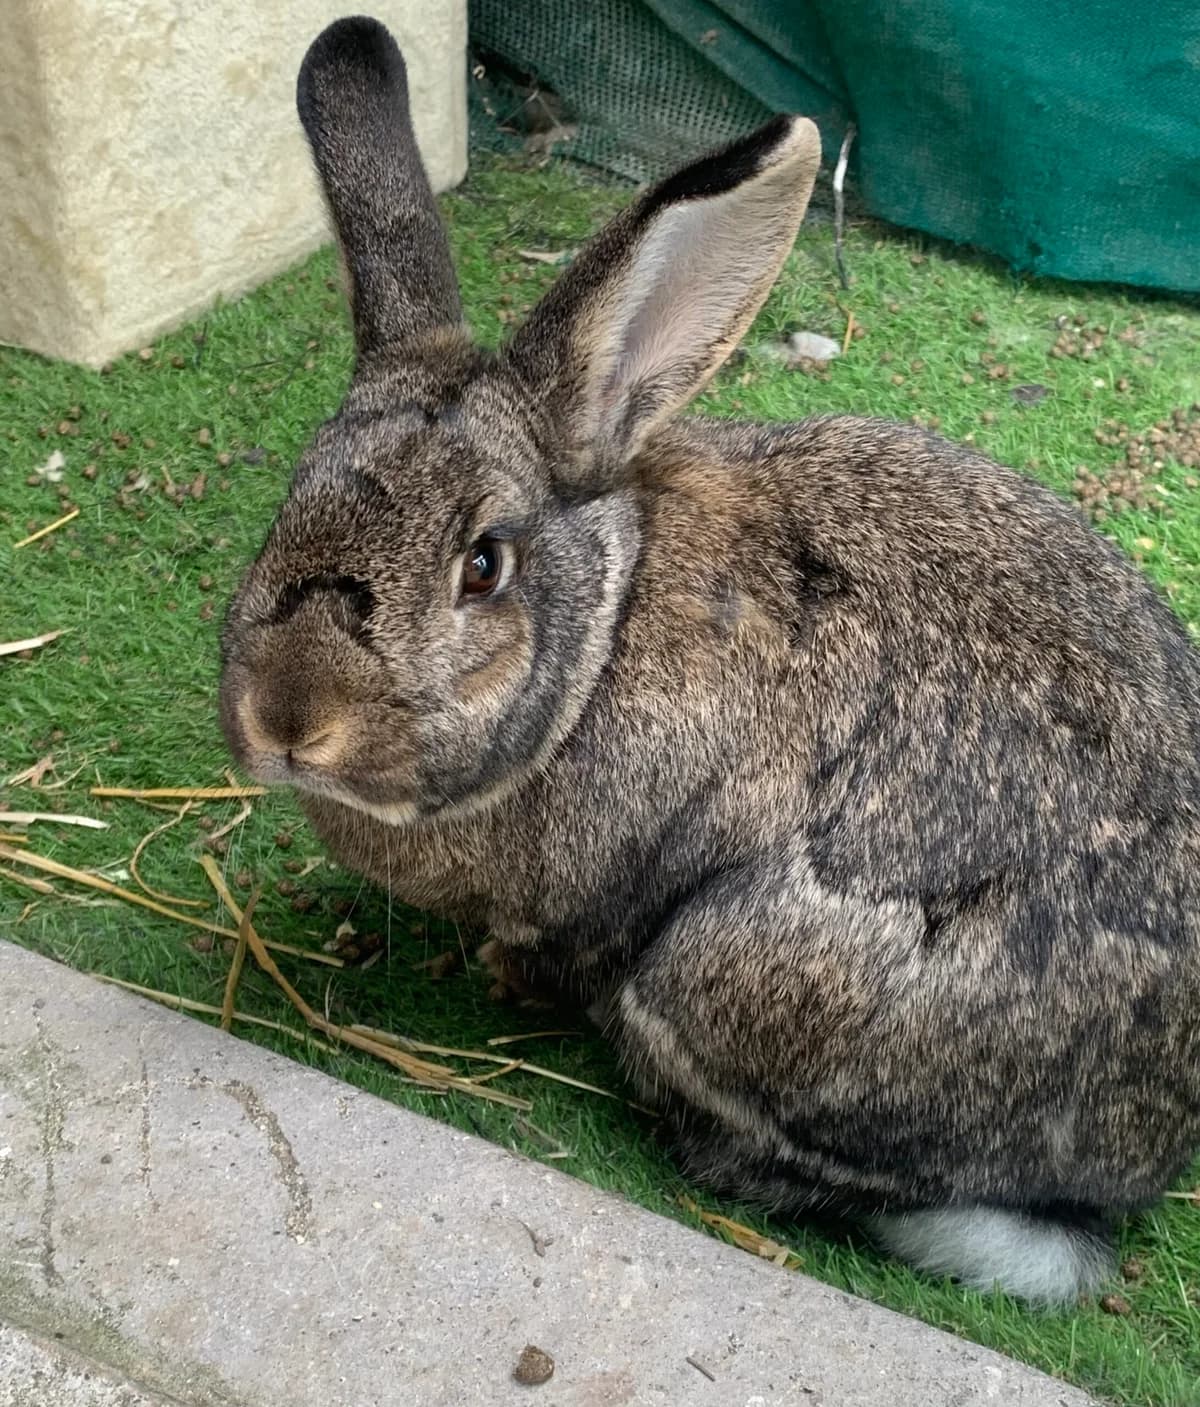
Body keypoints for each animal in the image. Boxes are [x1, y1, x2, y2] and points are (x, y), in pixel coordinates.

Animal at [219, 15, 1200, 1306]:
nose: (287, 719)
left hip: (731, 977)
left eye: (482, 564)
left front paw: (499, 977)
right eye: (292, 502)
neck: (601, 642)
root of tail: (1147, 1151)